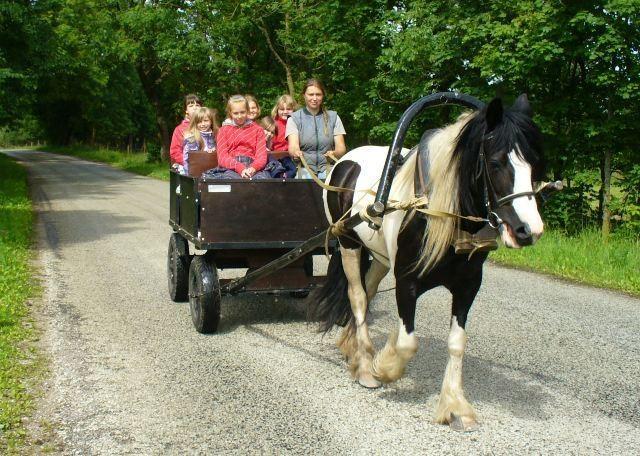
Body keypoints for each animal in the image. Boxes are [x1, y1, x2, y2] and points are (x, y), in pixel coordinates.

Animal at [308, 95, 544, 432]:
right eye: (496, 162)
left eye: (534, 163)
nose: (528, 230)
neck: (437, 210)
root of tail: (344, 161)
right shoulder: (407, 280)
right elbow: (408, 342)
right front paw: (384, 367)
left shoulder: (468, 284)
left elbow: (457, 342)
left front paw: (456, 405)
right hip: (348, 243)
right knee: (357, 297)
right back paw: (365, 367)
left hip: (379, 256)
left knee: (367, 292)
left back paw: (353, 348)